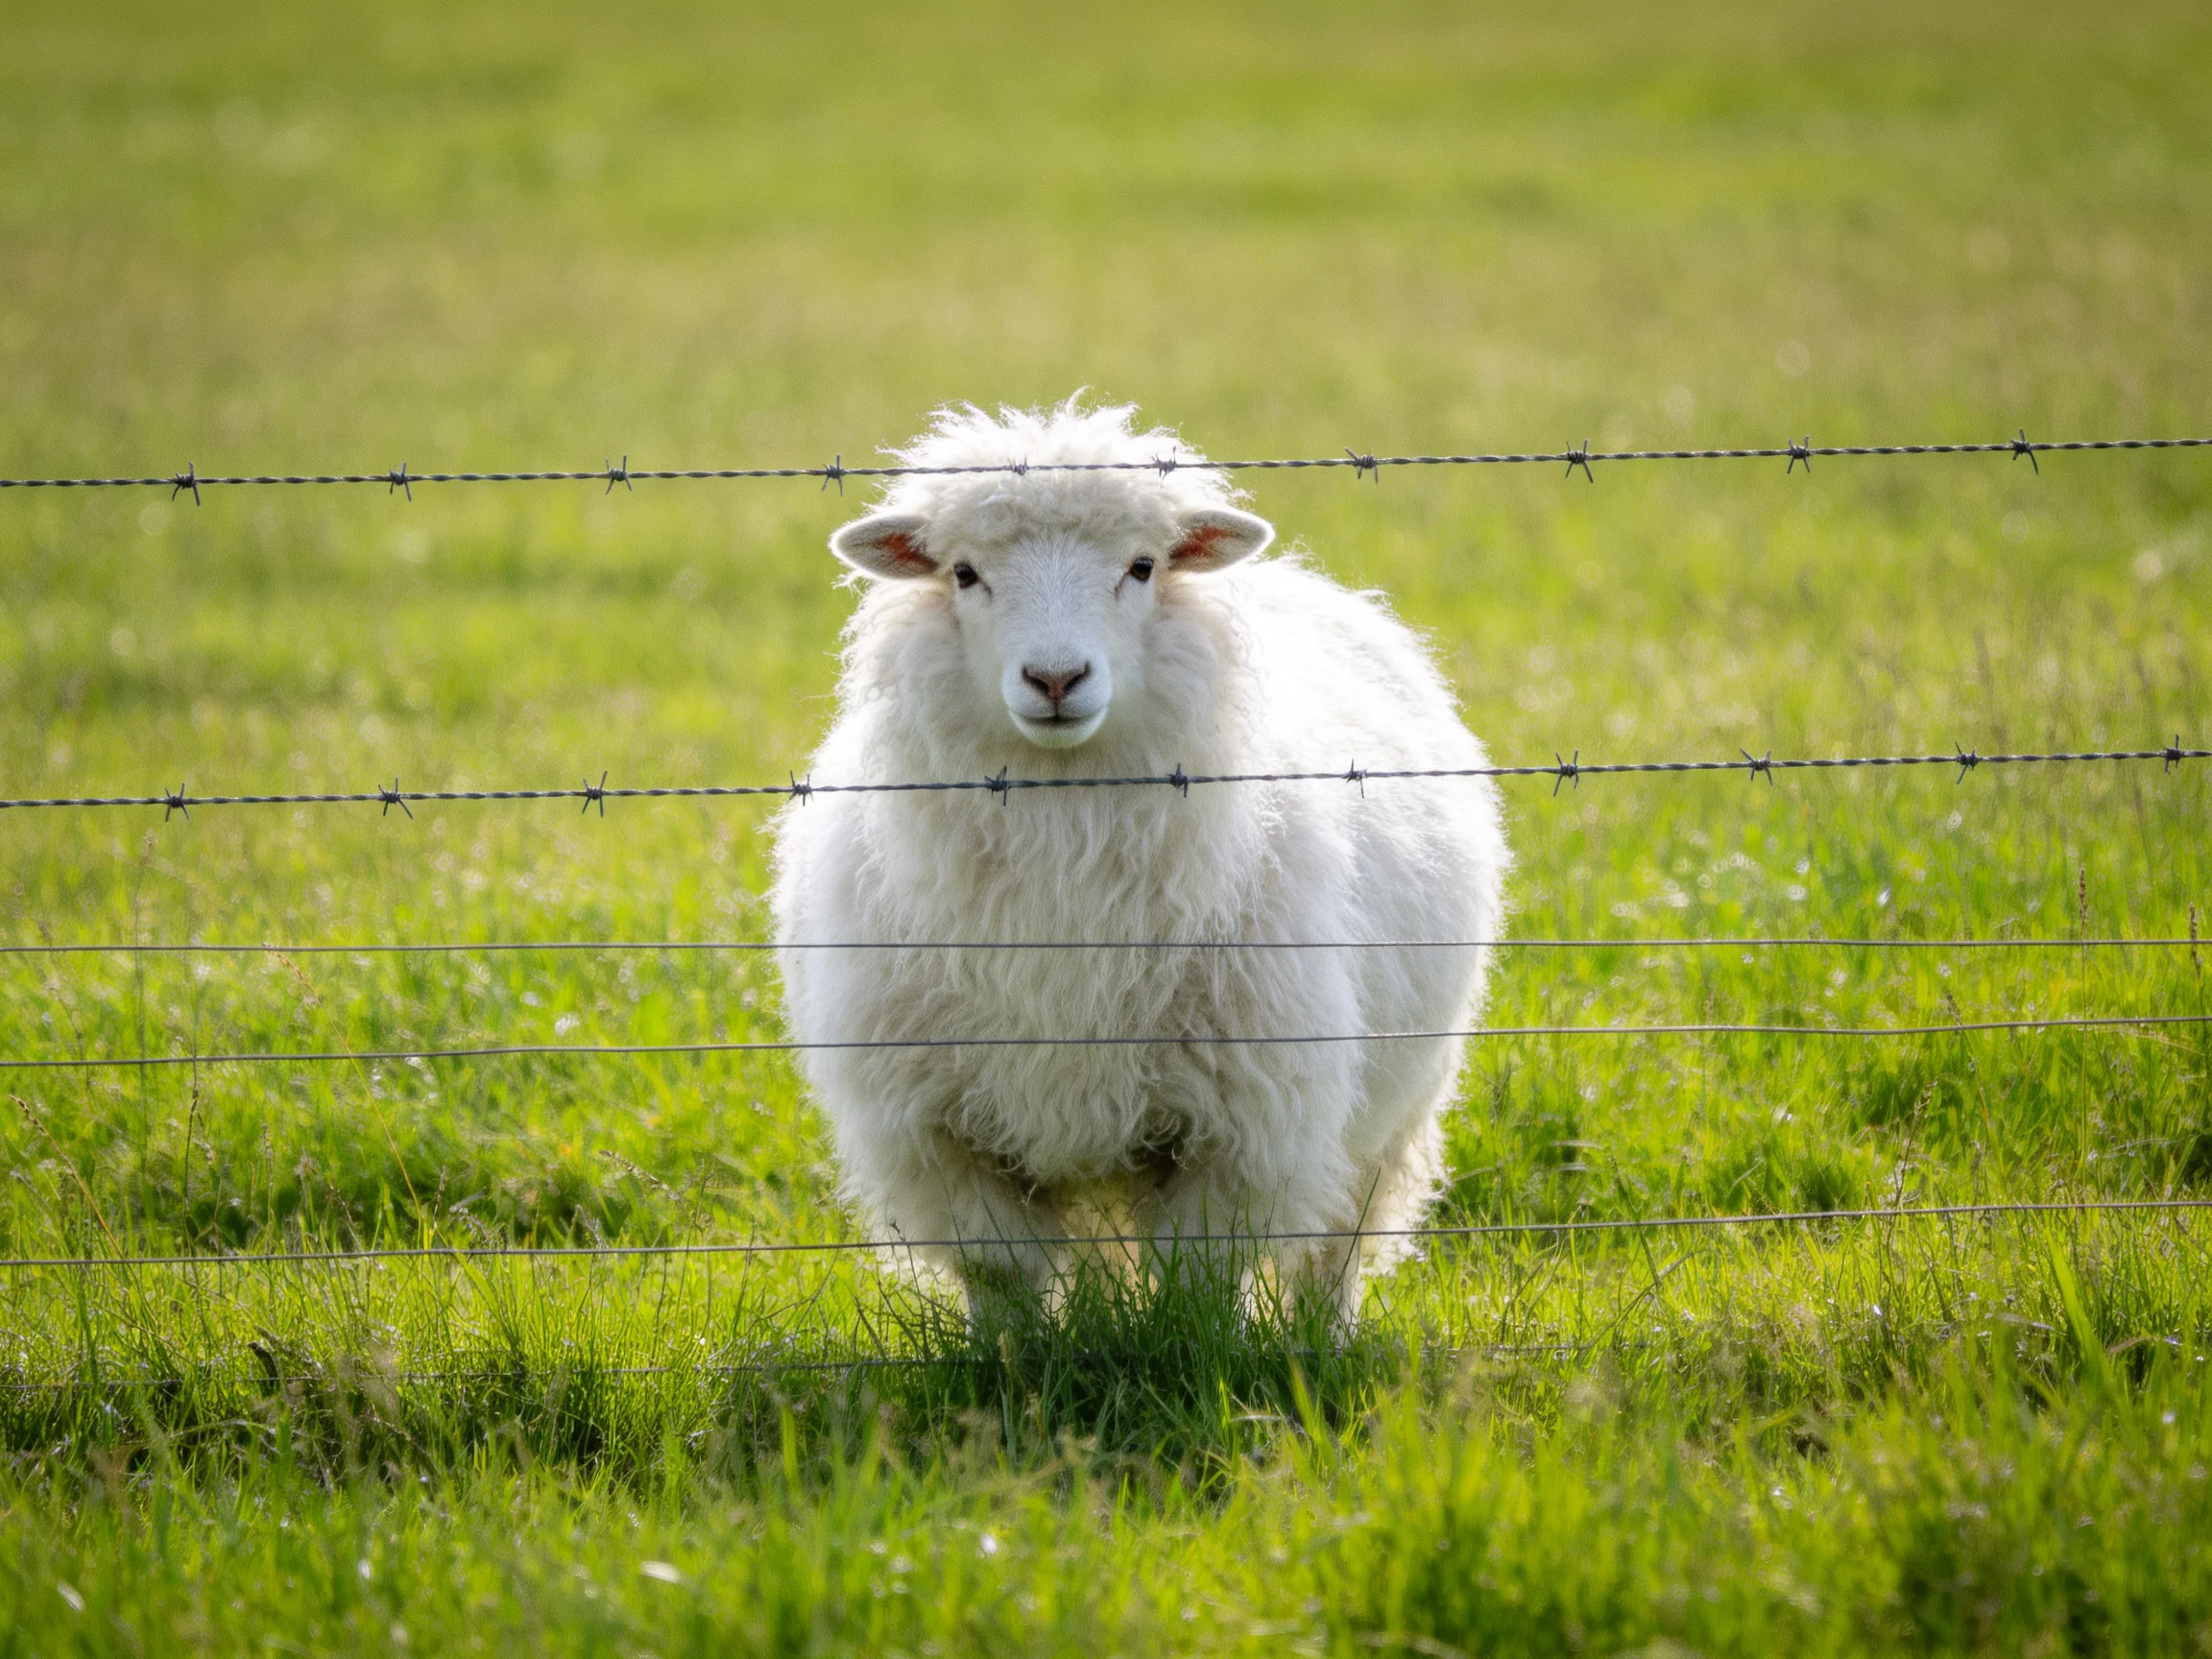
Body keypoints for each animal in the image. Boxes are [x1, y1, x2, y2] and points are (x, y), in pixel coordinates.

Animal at [770, 399, 1509, 1320]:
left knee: (1339, 1244)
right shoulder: (938, 1134)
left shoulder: (1242, 1126)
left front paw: (1200, 1350)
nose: (1056, 679)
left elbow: (1196, 1286)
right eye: (965, 573)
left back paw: (1323, 1336)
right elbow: (1003, 1279)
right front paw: (1009, 1357)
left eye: (1143, 566)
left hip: (1394, 1109)